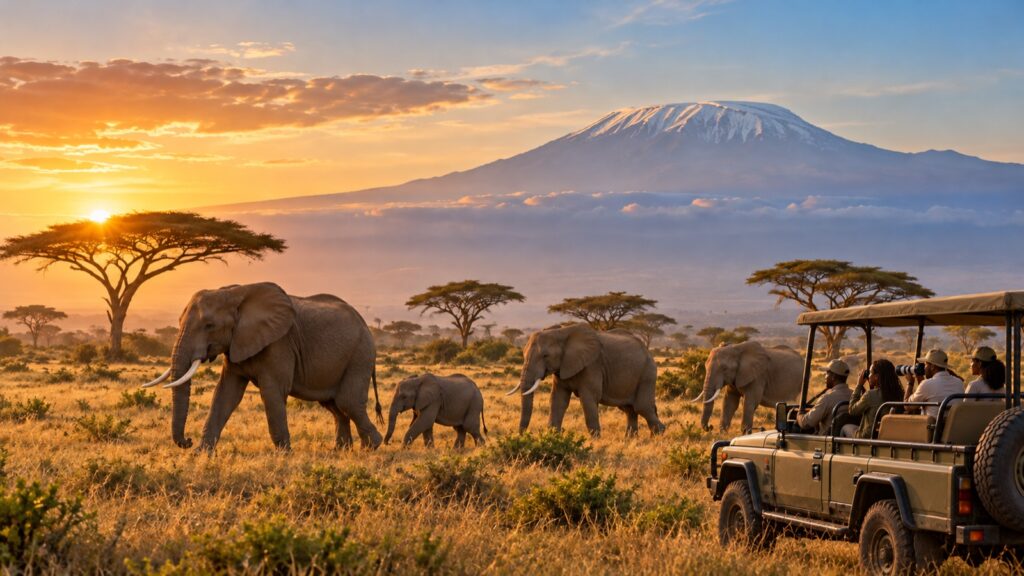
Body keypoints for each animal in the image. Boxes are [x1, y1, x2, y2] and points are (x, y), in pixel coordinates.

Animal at [141, 282, 384, 451]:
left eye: (209, 325)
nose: (187, 441)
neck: (234, 294)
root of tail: (366, 325)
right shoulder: (237, 343)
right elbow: (225, 394)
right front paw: (201, 454)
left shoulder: (279, 343)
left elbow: (272, 392)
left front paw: (284, 455)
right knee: (334, 405)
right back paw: (341, 450)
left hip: (360, 354)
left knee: (347, 402)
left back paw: (372, 447)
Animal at [507, 323, 665, 438]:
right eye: (523, 354)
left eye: (545, 356)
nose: (522, 435)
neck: (561, 332)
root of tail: (648, 352)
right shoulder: (562, 368)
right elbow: (558, 400)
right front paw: (552, 437)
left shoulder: (592, 365)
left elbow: (589, 399)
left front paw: (595, 440)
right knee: (629, 409)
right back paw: (631, 440)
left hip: (647, 373)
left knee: (642, 407)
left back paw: (658, 436)